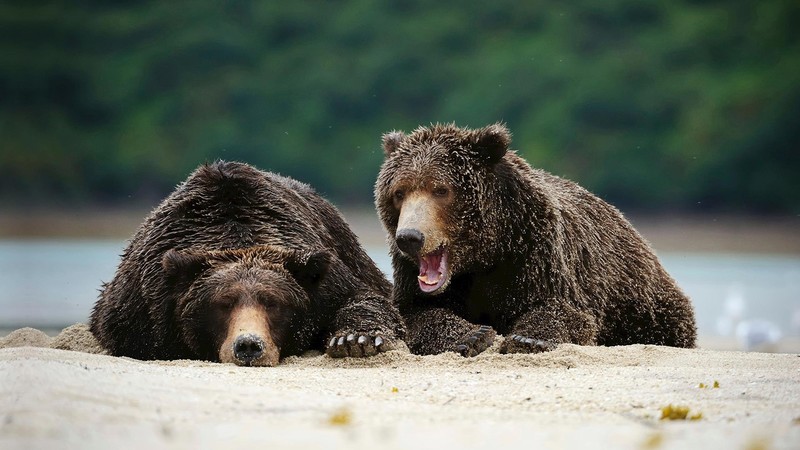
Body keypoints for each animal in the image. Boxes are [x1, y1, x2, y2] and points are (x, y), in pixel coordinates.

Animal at [90, 160, 406, 366]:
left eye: (274, 303)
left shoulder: (324, 280)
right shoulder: (145, 303)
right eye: (223, 303)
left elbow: (363, 298)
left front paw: (354, 340)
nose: (249, 346)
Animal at [374, 123, 696, 356]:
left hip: (641, 301)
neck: (485, 254)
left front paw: (528, 338)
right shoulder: (410, 274)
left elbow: (563, 310)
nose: (410, 237)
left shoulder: (534, 252)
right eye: (399, 192)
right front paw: (472, 335)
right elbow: (413, 313)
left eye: (440, 189)